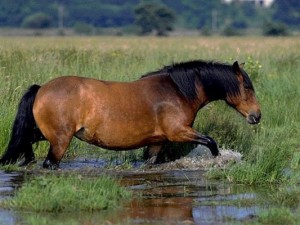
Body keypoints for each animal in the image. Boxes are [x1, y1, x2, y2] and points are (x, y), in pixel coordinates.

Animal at [0, 59, 260, 169]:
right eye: (247, 87)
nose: (257, 116)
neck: (177, 91)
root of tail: (42, 88)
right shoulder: (178, 132)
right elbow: (211, 142)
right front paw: (219, 160)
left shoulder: (158, 142)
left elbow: (150, 163)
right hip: (60, 141)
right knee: (49, 164)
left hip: (45, 134)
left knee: (25, 142)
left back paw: (25, 159)